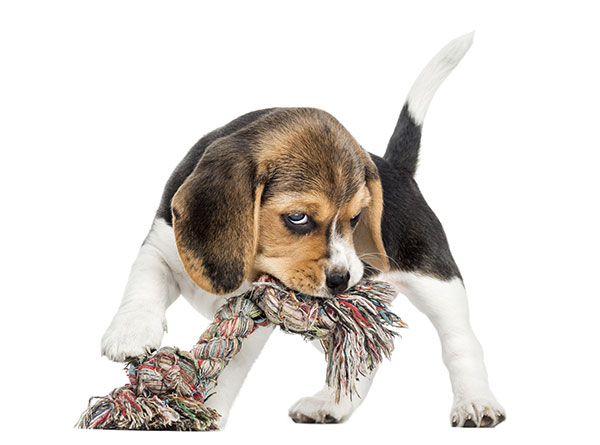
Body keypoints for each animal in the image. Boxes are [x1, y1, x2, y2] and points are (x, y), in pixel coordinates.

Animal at [101, 31, 504, 426]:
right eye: (297, 218)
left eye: (356, 218)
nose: (343, 279)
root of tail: (395, 167)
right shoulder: (162, 243)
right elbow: (144, 281)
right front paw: (130, 332)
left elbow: (229, 366)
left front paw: (204, 413)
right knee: (362, 355)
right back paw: (332, 404)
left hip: (437, 282)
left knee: (461, 343)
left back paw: (476, 403)